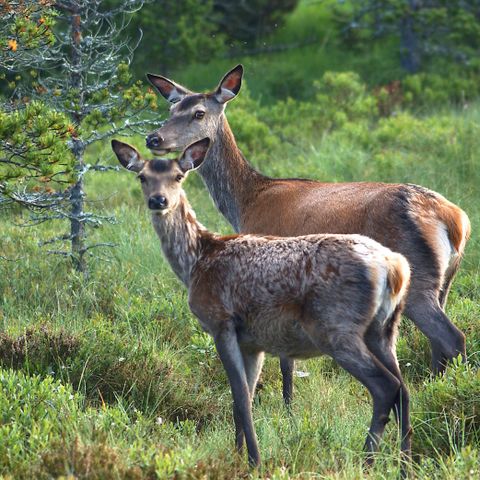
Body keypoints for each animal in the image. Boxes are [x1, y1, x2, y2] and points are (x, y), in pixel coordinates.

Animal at [112, 135, 412, 468]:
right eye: (142, 177)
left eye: (178, 176)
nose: (158, 201)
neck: (196, 262)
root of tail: (395, 267)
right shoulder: (252, 343)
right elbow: (245, 397)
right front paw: (238, 454)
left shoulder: (221, 322)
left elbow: (241, 396)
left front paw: (254, 461)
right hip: (384, 329)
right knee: (404, 388)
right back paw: (404, 462)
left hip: (336, 327)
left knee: (386, 387)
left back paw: (367, 459)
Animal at [144, 64, 470, 404]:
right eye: (171, 109)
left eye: (198, 113)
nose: (153, 138)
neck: (246, 203)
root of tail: (455, 220)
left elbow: (285, 360)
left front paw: (287, 406)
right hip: (444, 282)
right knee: (437, 344)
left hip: (418, 281)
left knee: (452, 337)